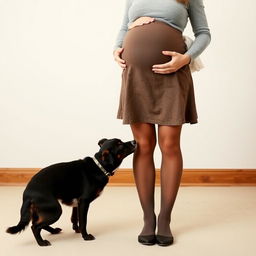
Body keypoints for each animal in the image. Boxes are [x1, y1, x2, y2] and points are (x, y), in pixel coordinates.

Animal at [6, 138, 136, 246]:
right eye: (120, 145)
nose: (134, 141)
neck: (99, 166)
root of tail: (27, 194)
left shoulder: (76, 203)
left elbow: (74, 218)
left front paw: (76, 230)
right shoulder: (84, 202)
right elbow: (83, 221)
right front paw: (85, 236)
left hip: (43, 211)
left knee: (38, 223)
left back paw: (53, 231)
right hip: (55, 210)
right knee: (35, 226)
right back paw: (41, 242)